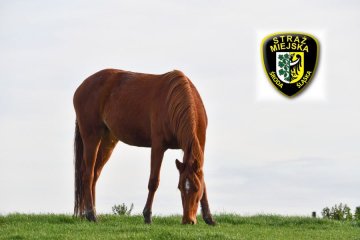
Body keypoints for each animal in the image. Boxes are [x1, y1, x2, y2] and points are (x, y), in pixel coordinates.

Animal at [73, 68, 214, 225]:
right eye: (179, 187)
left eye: (196, 188)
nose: (188, 220)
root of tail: (82, 87)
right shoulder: (158, 146)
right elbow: (153, 181)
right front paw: (147, 215)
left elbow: (203, 181)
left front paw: (209, 217)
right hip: (91, 137)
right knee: (88, 174)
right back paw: (91, 214)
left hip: (107, 140)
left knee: (95, 174)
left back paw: (92, 212)